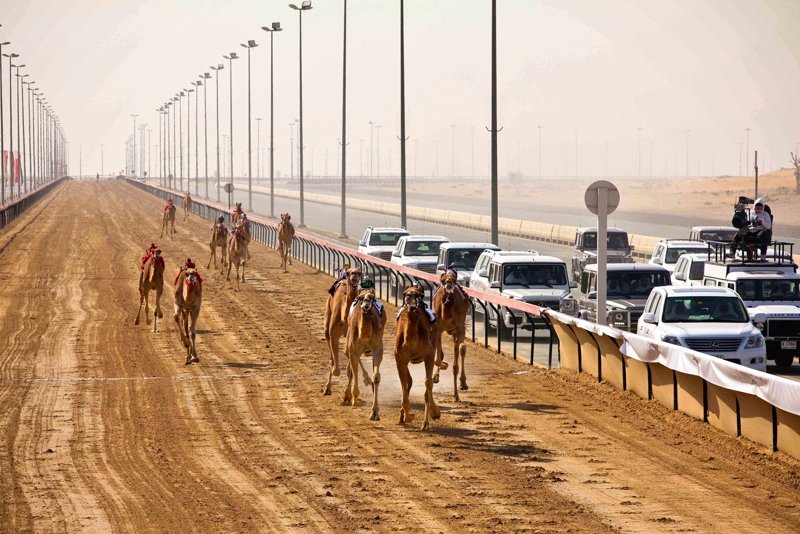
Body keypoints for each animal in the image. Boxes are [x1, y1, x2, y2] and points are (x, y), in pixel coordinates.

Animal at [322, 268, 372, 398]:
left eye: (359, 272)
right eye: (350, 272)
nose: (354, 276)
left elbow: (350, 367)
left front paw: (348, 395)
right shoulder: (333, 334)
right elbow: (335, 368)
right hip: (327, 319)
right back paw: (327, 388)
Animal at [340, 288, 388, 422]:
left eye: (372, 297)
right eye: (360, 298)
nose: (366, 304)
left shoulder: (378, 350)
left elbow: (376, 377)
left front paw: (375, 412)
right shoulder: (353, 349)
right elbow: (354, 372)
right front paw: (354, 400)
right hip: (349, 342)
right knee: (350, 366)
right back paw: (349, 394)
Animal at [396, 284, 446, 432]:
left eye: (420, 295)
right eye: (406, 294)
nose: (413, 306)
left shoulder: (428, 355)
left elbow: (428, 382)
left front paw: (435, 413)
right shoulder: (400, 359)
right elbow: (404, 384)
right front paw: (407, 416)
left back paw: (425, 423)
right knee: (409, 381)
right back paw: (403, 416)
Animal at [432, 272, 468, 402]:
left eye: (454, 279)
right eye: (443, 280)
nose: (449, 283)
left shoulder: (459, 327)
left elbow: (460, 352)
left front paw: (456, 395)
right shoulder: (438, 328)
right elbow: (437, 358)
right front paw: (443, 366)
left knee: (460, 350)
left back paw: (463, 384)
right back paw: (435, 377)